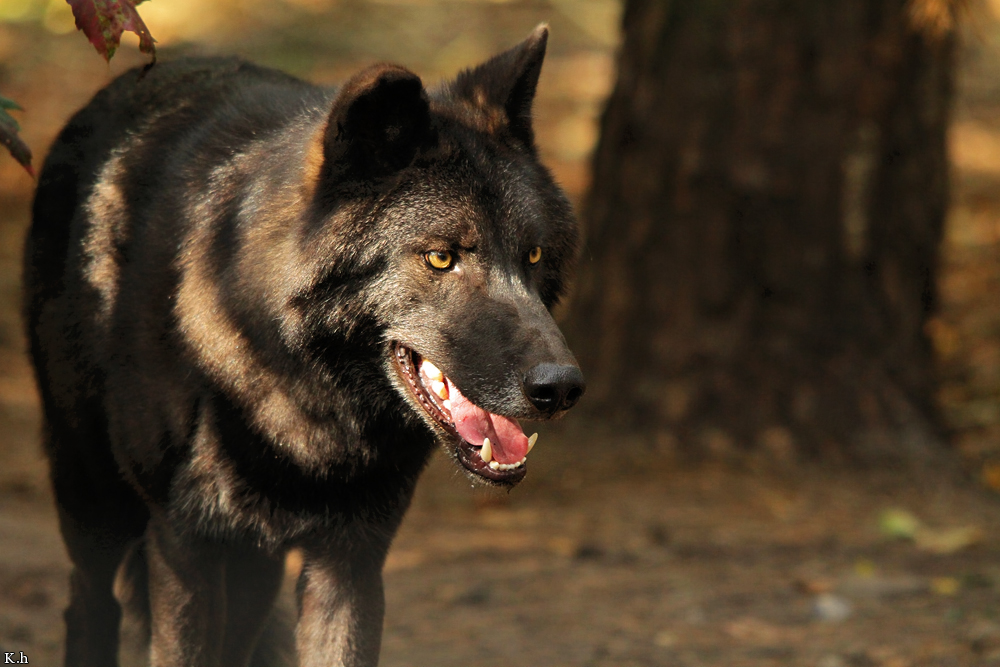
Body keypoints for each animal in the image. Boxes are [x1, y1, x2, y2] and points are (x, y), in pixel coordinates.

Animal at [24, 25, 584, 667]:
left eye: (533, 255)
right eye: (441, 257)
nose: (562, 387)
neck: (308, 402)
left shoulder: (351, 560)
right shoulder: (182, 547)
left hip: (251, 567)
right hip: (95, 498)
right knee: (88, 603)